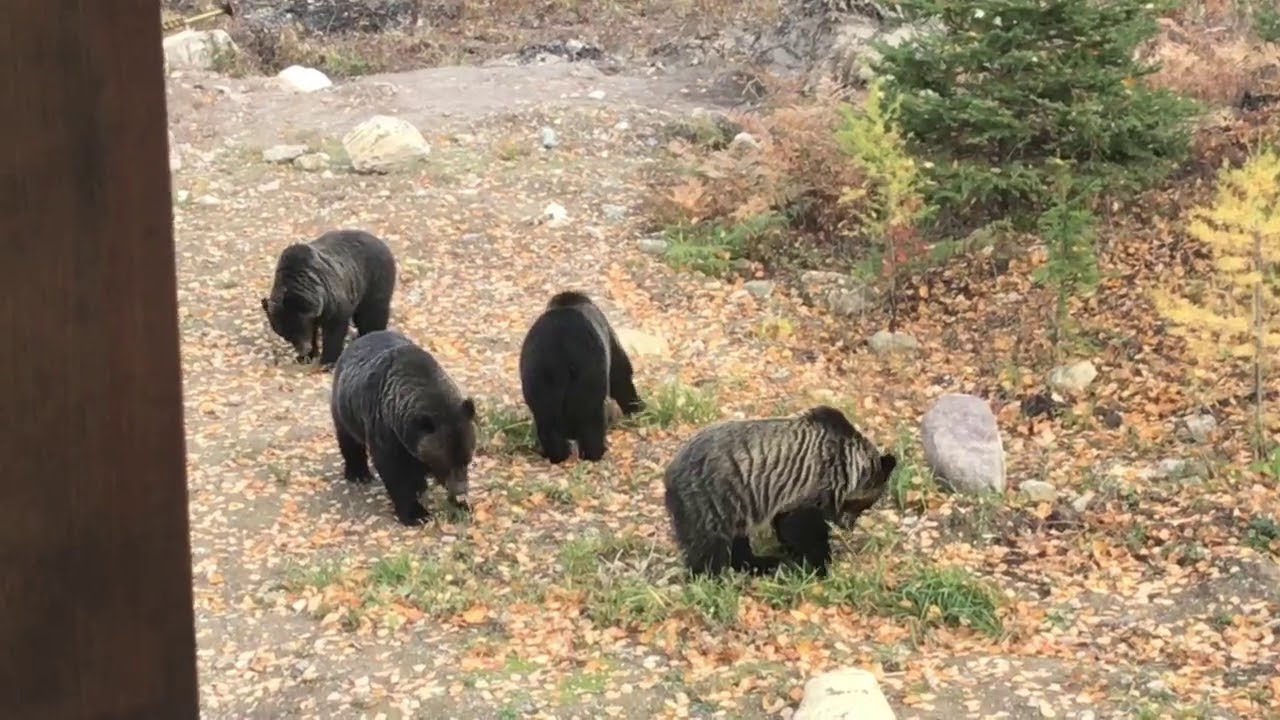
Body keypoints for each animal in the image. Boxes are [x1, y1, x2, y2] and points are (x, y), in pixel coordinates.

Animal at [261, 229, 396, 370]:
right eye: (286, 335)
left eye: (299, 329)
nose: (303, 350)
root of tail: (380, 241)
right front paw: (306, 356)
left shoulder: (332, 300)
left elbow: (334, 330)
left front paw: (327, 361)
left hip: (374, 280)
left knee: (373, 312)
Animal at [329, 329, 476, 526]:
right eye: (445, 462)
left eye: (467, 459)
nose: (460, 490)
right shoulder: (385, 431)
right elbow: (395, 472)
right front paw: (417, 513)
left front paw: (461, 504)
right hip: (346, 409)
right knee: (349, 440)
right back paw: (358, 473)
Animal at [517, 290, 644, 464]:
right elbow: (621, 375)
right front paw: (635, 407)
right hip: (588, 373)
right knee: (591, 418)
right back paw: (594, 453)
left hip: (539, 373)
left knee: (547, 421)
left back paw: (557, 454)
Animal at [662, 405, 897, 577]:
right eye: (866, 504)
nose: (848, 525)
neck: (848, 465)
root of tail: (669, 473)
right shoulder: (813, 487)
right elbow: (805, 530)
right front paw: (819, 565)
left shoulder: (788, 496)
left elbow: (787, 526)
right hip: (711, 498)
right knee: (708, 546)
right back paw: (712, 578)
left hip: (737, 503)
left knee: (736, 540)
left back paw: (760, 563)